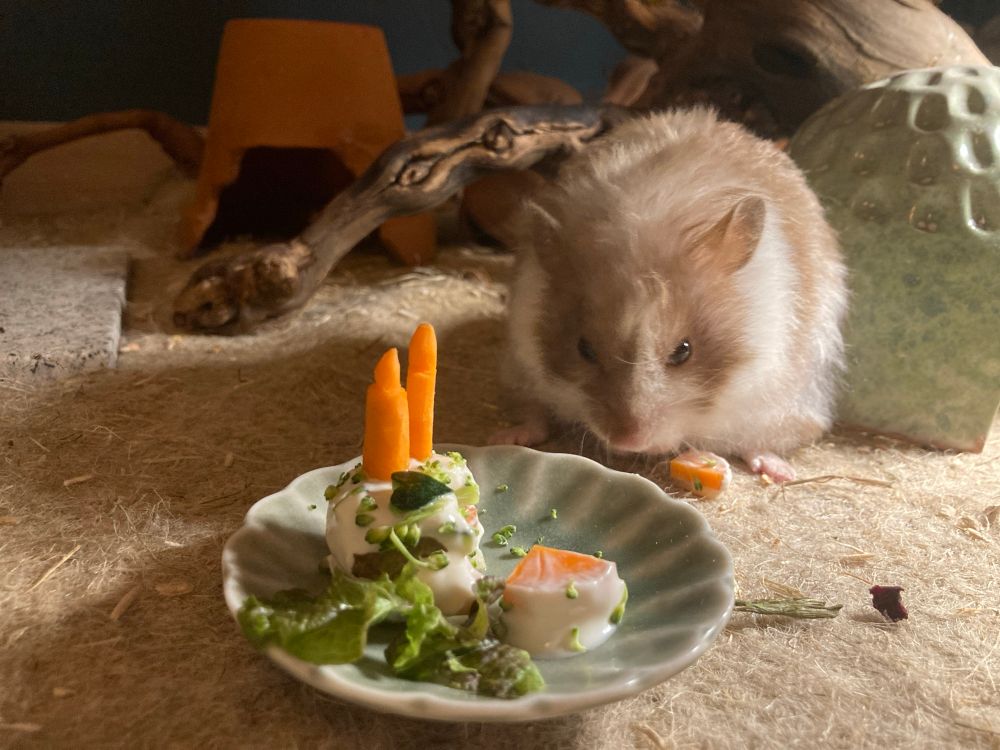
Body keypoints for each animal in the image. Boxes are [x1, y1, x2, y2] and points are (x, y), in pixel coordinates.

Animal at [489, 108, 848, 482]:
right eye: (583, 349)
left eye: (683, 351)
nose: (627, 442)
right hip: (519, 372)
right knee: (533, 414)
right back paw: (505, 436)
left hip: (791, 404)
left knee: (759, 442)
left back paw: (779, 471)